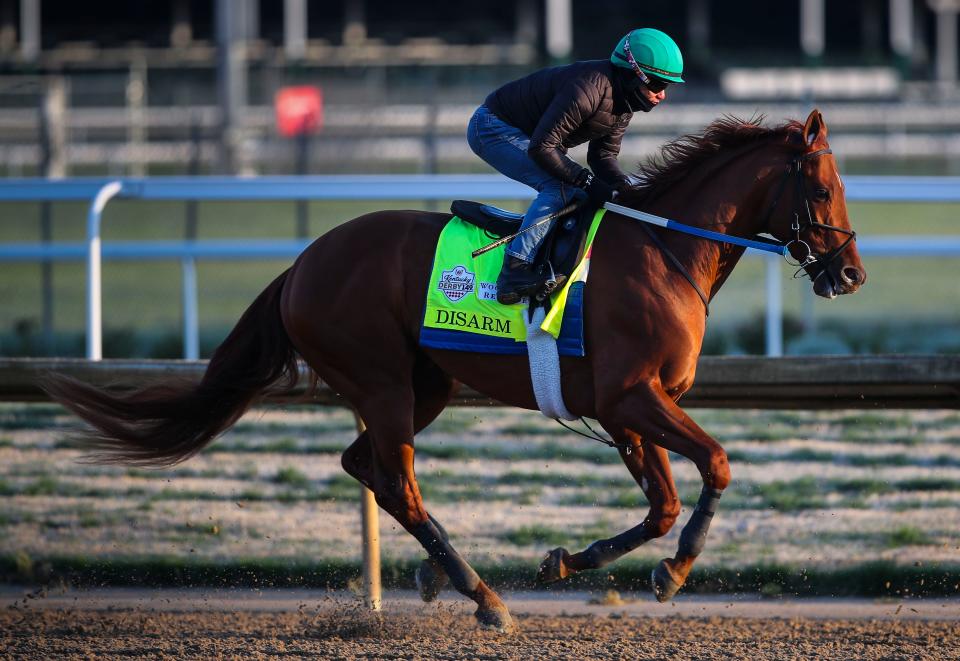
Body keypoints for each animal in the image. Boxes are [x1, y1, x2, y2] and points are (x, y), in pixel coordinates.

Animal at [47, 109, 864, 628]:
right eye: (824, 188)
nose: (850, 273)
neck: (665, 252)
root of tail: (301, 265)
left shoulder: (629, 406)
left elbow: (662, 503)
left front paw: (571, 560)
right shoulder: (632, 397)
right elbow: (717, 464)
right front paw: (675, 571)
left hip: (426, 382)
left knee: (366, 465)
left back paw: (442, 570)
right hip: (382, 380)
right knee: (398, 481)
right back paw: (481, 596)